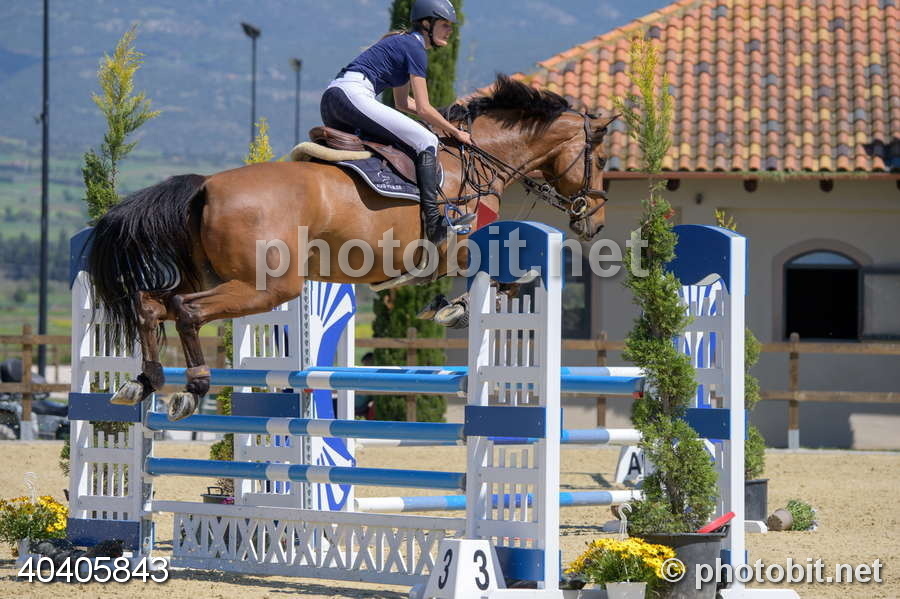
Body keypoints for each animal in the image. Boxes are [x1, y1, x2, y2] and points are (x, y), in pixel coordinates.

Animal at [87, 75, 617, 420]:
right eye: (600, 157)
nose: (595, 220)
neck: (474, 161)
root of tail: (204, 187)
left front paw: (447, 306)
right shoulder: (455, 246)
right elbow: (507, 276)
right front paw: (457, 308)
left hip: (221, 277)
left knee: (150, 305)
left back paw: (144, 382)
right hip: (268, 286)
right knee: (186, 309)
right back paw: (192, 389)